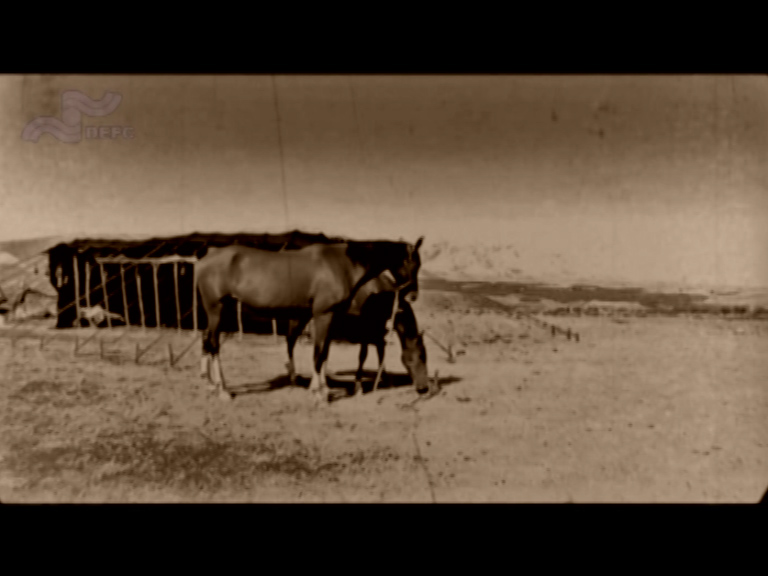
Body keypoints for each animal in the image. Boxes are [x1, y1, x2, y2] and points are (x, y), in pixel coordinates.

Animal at [284, 272, 438, 398]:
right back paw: (293, 379)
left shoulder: (379, 333)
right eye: (413, 359)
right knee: (291, 343)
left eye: (425, 357)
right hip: (300, 321)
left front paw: (386, 381)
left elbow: (381, 355)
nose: (423, 388)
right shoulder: (365, 331)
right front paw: (358, 387)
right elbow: (362, 356)